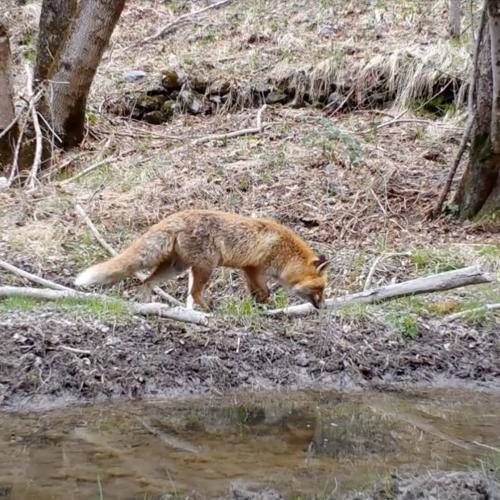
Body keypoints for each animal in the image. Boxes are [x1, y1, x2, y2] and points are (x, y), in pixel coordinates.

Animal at [75, 210, 328, 308]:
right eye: (320, 289)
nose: (322, 308)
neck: (285, 252)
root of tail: (178, 215)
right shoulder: (254, 267)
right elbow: (264, 291)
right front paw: (269, 306)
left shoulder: (248, 269)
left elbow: (257, 292)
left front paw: (261, 307)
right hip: (206, 267)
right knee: (194, 293)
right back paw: (208, 310)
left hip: (176, 268)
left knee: (146, 282)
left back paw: (147, 305)